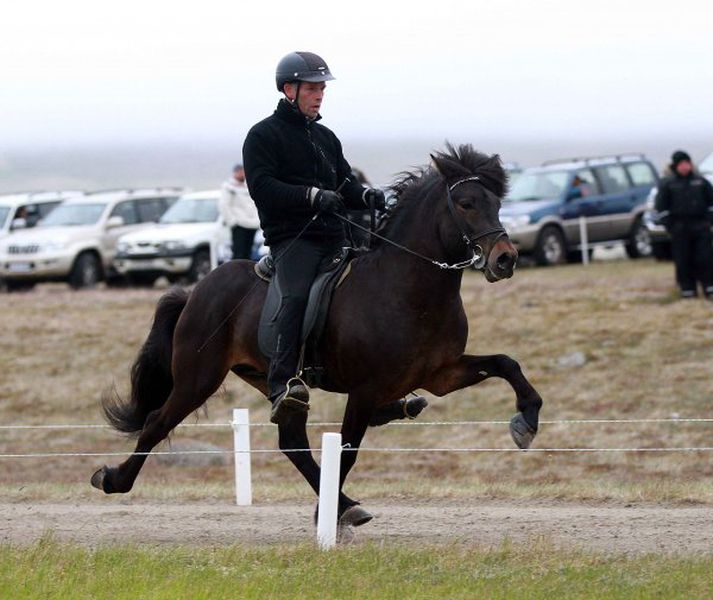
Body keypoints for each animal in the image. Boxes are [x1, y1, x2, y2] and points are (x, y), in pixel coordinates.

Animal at [92, 143, 544, 528]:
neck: (409, 288)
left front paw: (526, 420)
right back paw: (113, 479)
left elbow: (506, 363)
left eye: (496, 203)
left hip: (272, 381)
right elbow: (347, 451)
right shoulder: (365, 390)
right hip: (197, 378)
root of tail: (195, 291)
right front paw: (326, 515)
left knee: (291, 441)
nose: (505, 259)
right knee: (157, 421)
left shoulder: (440, 374)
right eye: (466, 204)